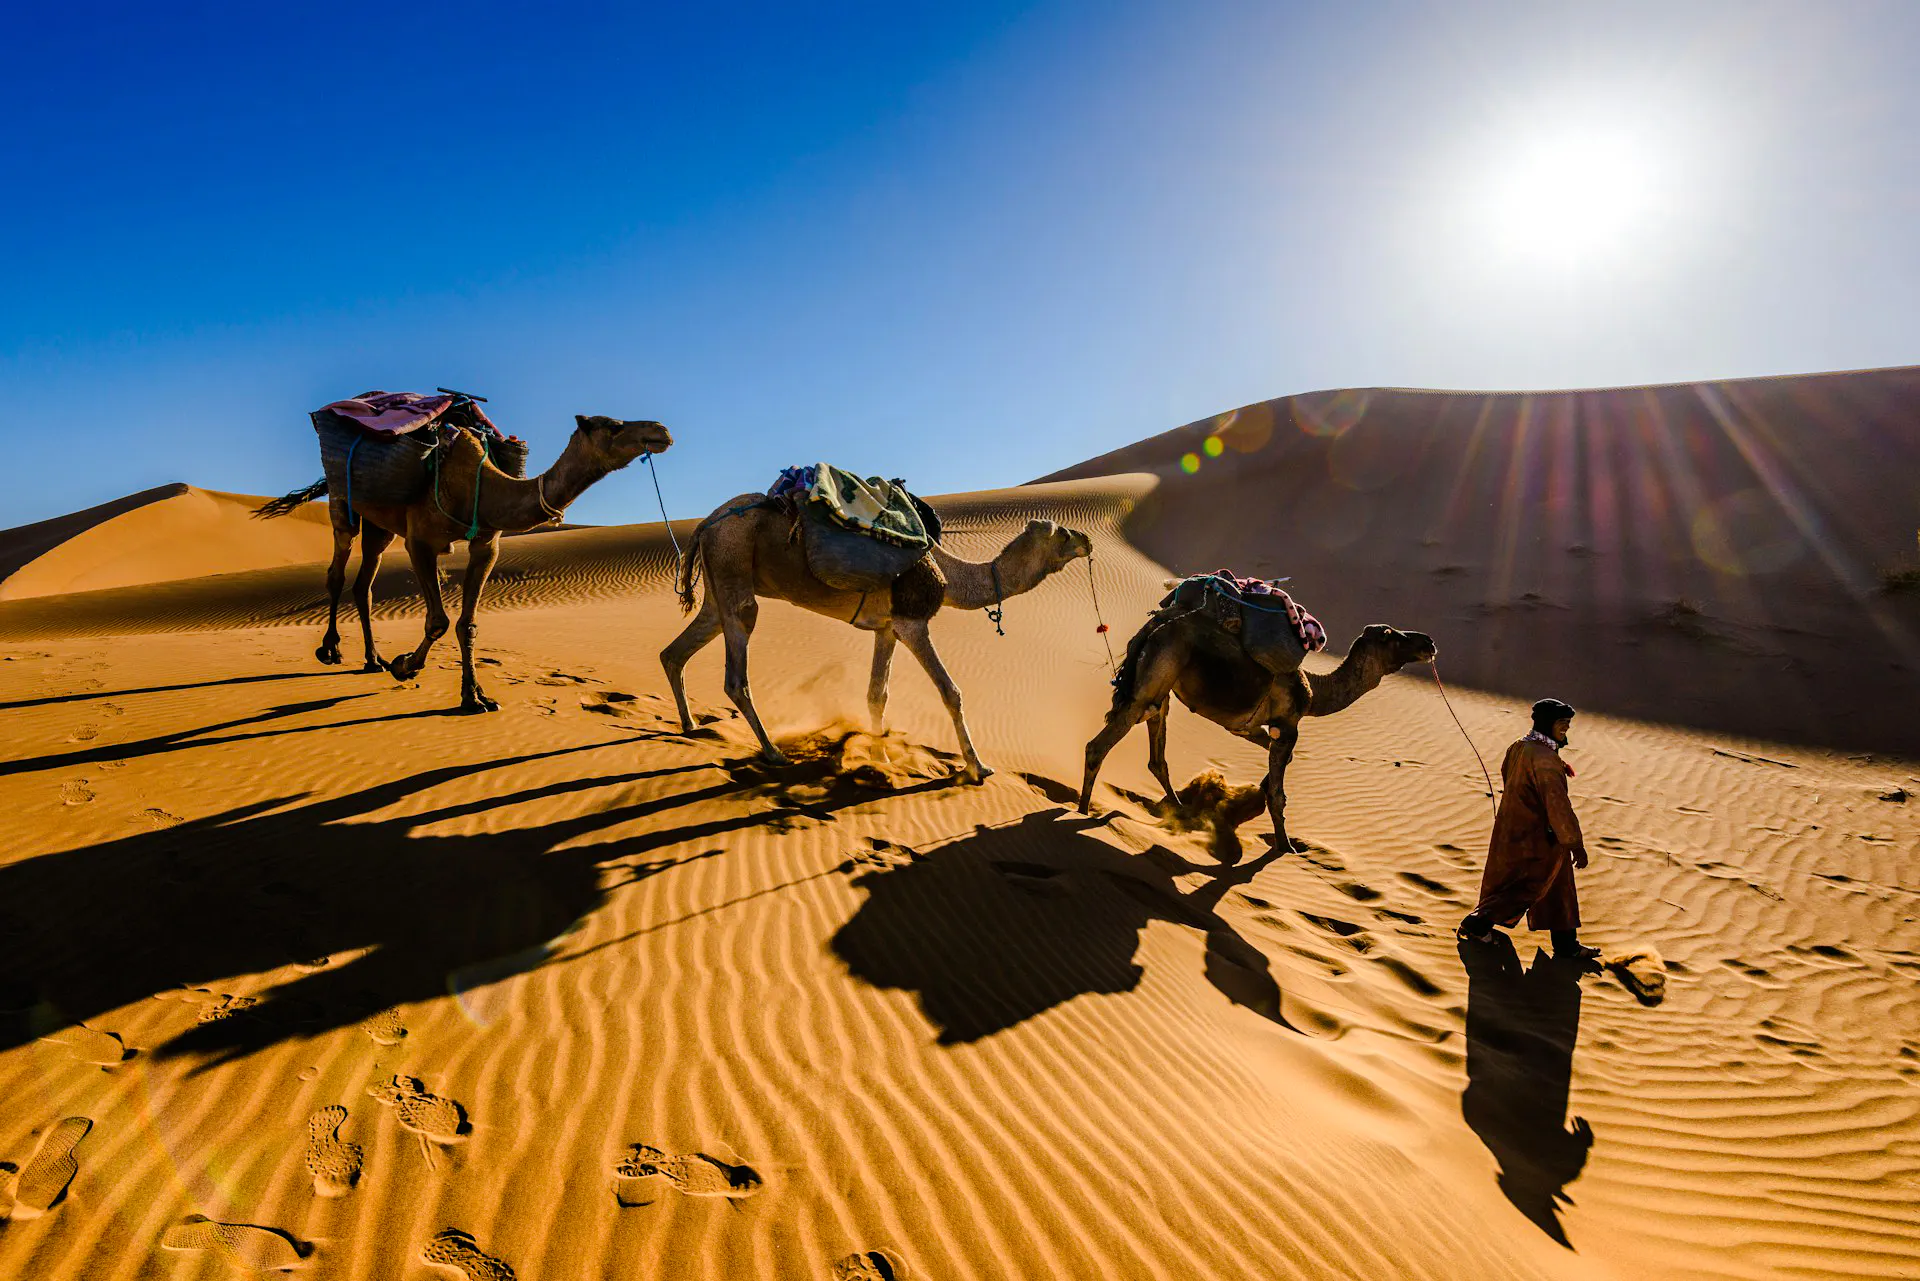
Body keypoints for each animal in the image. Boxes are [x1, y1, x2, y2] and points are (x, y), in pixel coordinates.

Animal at [257, 415, 671, 712]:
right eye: (614, 425)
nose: (662, 430)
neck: (480, 485)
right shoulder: (419, 540)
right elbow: (438, 620)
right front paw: (405, 666)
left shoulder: (486, 544)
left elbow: (467, 623)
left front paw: (474, 696)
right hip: (343, 503)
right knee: (337, 572)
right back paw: (331, 650)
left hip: (380, 525)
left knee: (364, 583)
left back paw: (373, 660)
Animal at [663, 495, 1092, 781]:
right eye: (1061, 533)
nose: (1086, 540)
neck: (949, 574)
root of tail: (705, 524)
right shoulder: (912, 621)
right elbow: (950, 691)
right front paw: (977, 767)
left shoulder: (887, 628)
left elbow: (877, 694)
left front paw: (880, 758)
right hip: (733, 560)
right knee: (737, 667)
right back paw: (772, 753)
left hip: (718, 584)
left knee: (677, 650)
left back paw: (691, 726)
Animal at [1077, 599, 1435, 855]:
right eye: (1390, 635)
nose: (1428, 642)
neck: (1314, 693)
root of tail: (1155, 624)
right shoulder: (1289, 726)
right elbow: (1279, 794)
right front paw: (1286, 847)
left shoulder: (1249, 728)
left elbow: (1276, 762)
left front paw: (1256, 796)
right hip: (1154, 677)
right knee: (1100, 745)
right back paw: (1081, 811)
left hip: (1159, 687)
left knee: (1156, 752)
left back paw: (1180, 810)